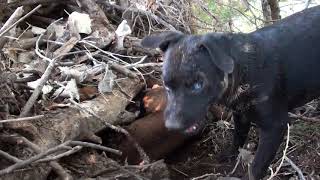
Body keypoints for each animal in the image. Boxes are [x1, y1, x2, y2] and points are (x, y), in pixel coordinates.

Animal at [141, 5, 320, 180]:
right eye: (166, 84)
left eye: (198, 84)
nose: (172, 126)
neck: (244, 71)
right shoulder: (240, 114)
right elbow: (238, 137)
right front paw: (229, 155)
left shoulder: (275, 126)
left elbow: (255, 168)